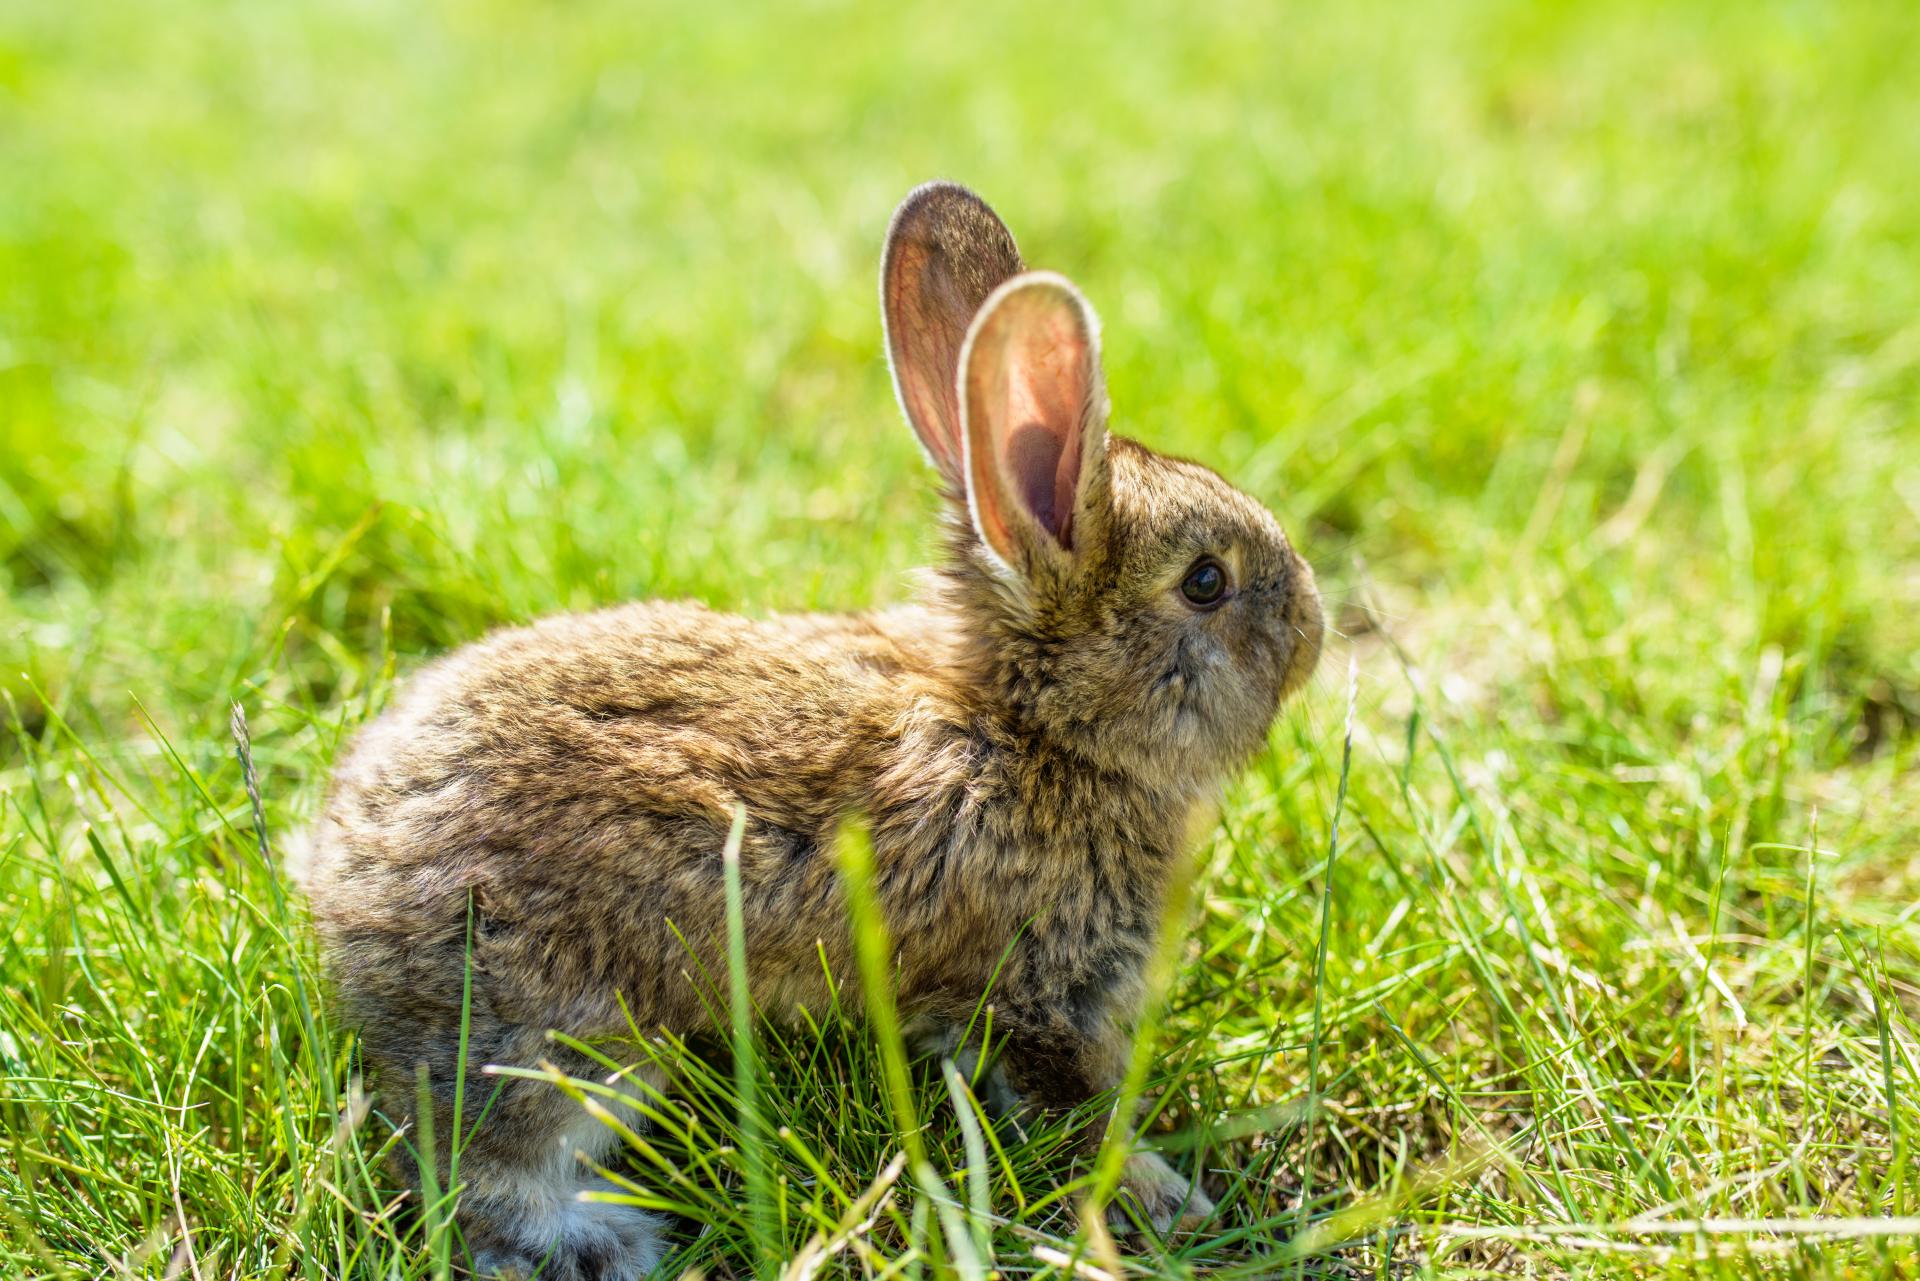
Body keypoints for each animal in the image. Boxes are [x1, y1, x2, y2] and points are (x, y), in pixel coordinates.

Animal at [303, 182, 1320, 1281]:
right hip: (564, 1033)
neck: (1031, 731)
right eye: (1206, 582)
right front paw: (1172, 1199)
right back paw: (613, 1237)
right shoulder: (1031, 994)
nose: (1314, 625)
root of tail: (333, 875)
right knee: (475, 1170)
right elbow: (1073, 1111)